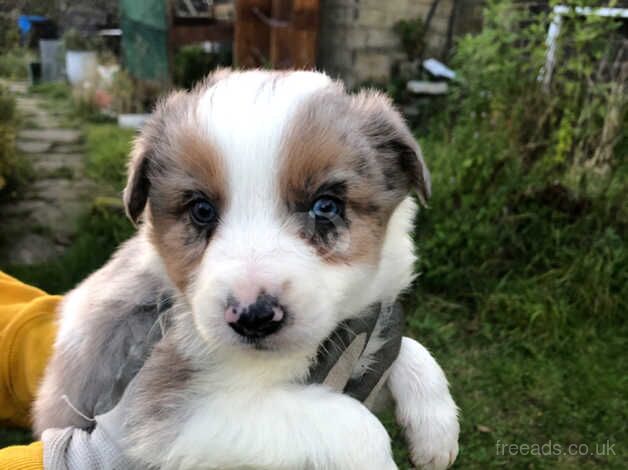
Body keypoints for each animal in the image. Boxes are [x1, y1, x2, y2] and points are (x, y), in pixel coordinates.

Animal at [34, 68, 458, 468]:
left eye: (325, 206)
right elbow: (355, 425)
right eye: (201, 210)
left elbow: (408, 348)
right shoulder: (175, 413)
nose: (254, 317)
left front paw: (436, 431)